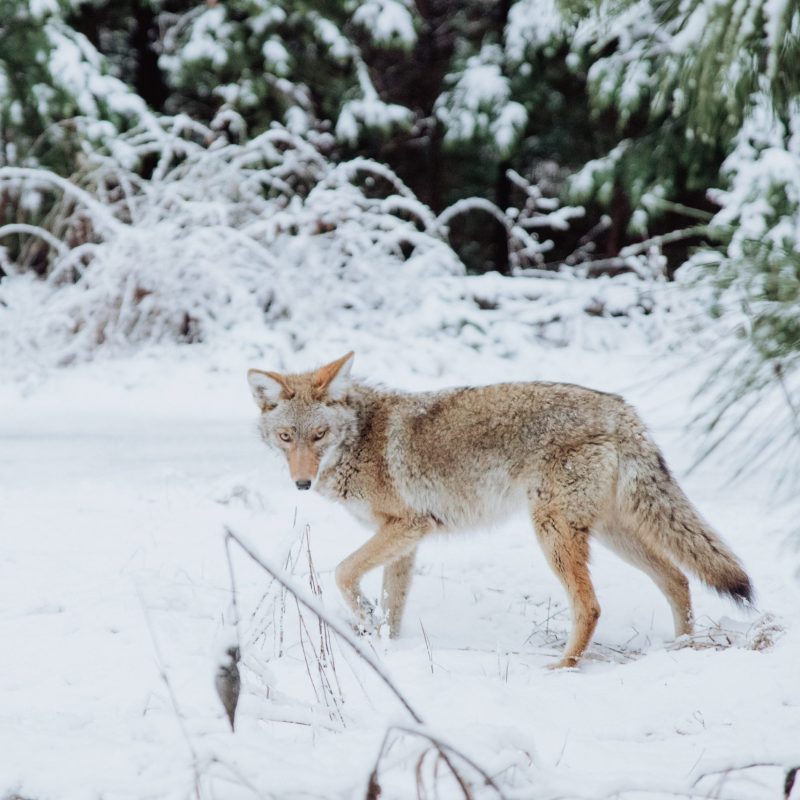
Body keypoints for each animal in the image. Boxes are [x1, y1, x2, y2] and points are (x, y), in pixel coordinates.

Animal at [247, 351, 753, 668]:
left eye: (319, 436)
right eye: (287, 437)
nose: (301, 483)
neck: (361, 438)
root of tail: (622, 412)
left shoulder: (408, 525)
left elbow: (342, 573)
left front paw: (367, 623)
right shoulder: (406, 540)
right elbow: (392, 604)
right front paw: (384, 643)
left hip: (553, 532)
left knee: (591, 605)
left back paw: (561, 667)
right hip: (611, 534)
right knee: (678, 578)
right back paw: (682, 648)